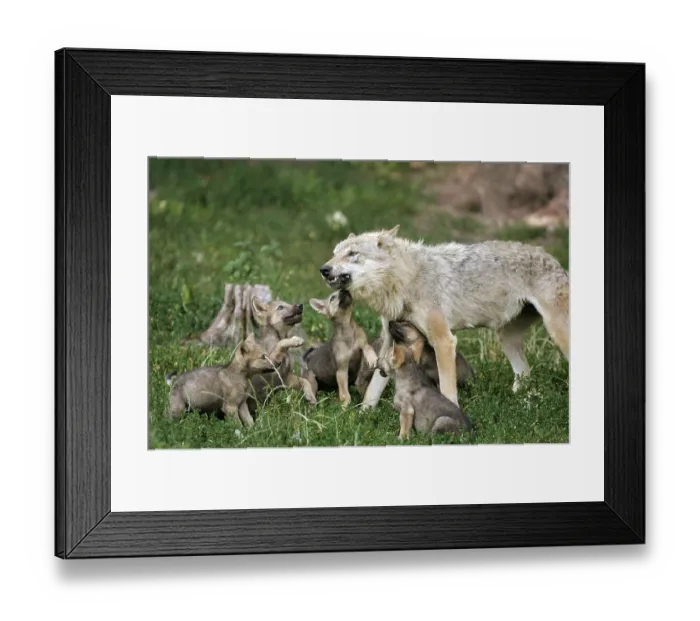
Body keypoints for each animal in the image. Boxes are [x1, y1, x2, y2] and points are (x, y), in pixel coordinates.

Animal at [319, 225, 569, 408]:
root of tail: (553, 259)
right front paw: (362, 417)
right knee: (524, 372)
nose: (323, 269)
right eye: (334, 254)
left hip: (557, 334)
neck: (406, 281)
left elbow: (447, 390)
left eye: (352, 254)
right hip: (506, 339)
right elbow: (372, 391)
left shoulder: (444, 341)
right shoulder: (390, 343)